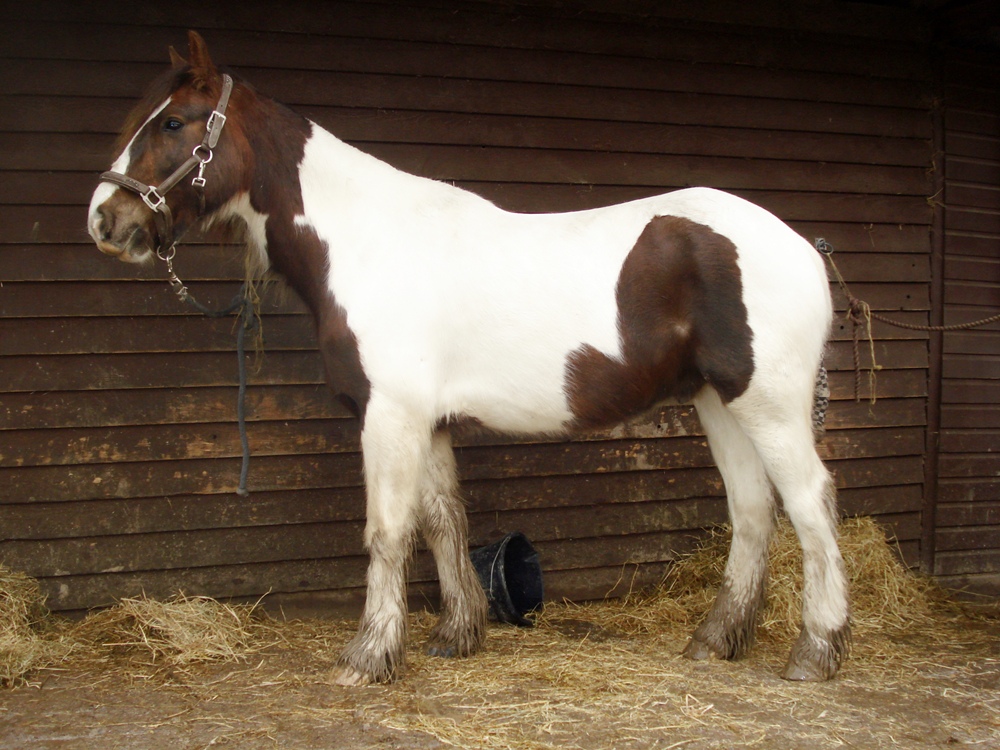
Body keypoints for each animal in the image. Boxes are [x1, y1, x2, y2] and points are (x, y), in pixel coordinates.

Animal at [88, 31, 849, 685]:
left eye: (174, 124)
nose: (105, 221)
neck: (366, 241)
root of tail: (803, 249)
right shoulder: (426, 423)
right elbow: (441, 521)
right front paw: (457, 636)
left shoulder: (388, 416)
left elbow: (388, 531)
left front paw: (368, 657)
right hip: (719, 401)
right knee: (752, 508)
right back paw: (715, 640)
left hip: (767, 406)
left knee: (809, 501)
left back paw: (816, 650)